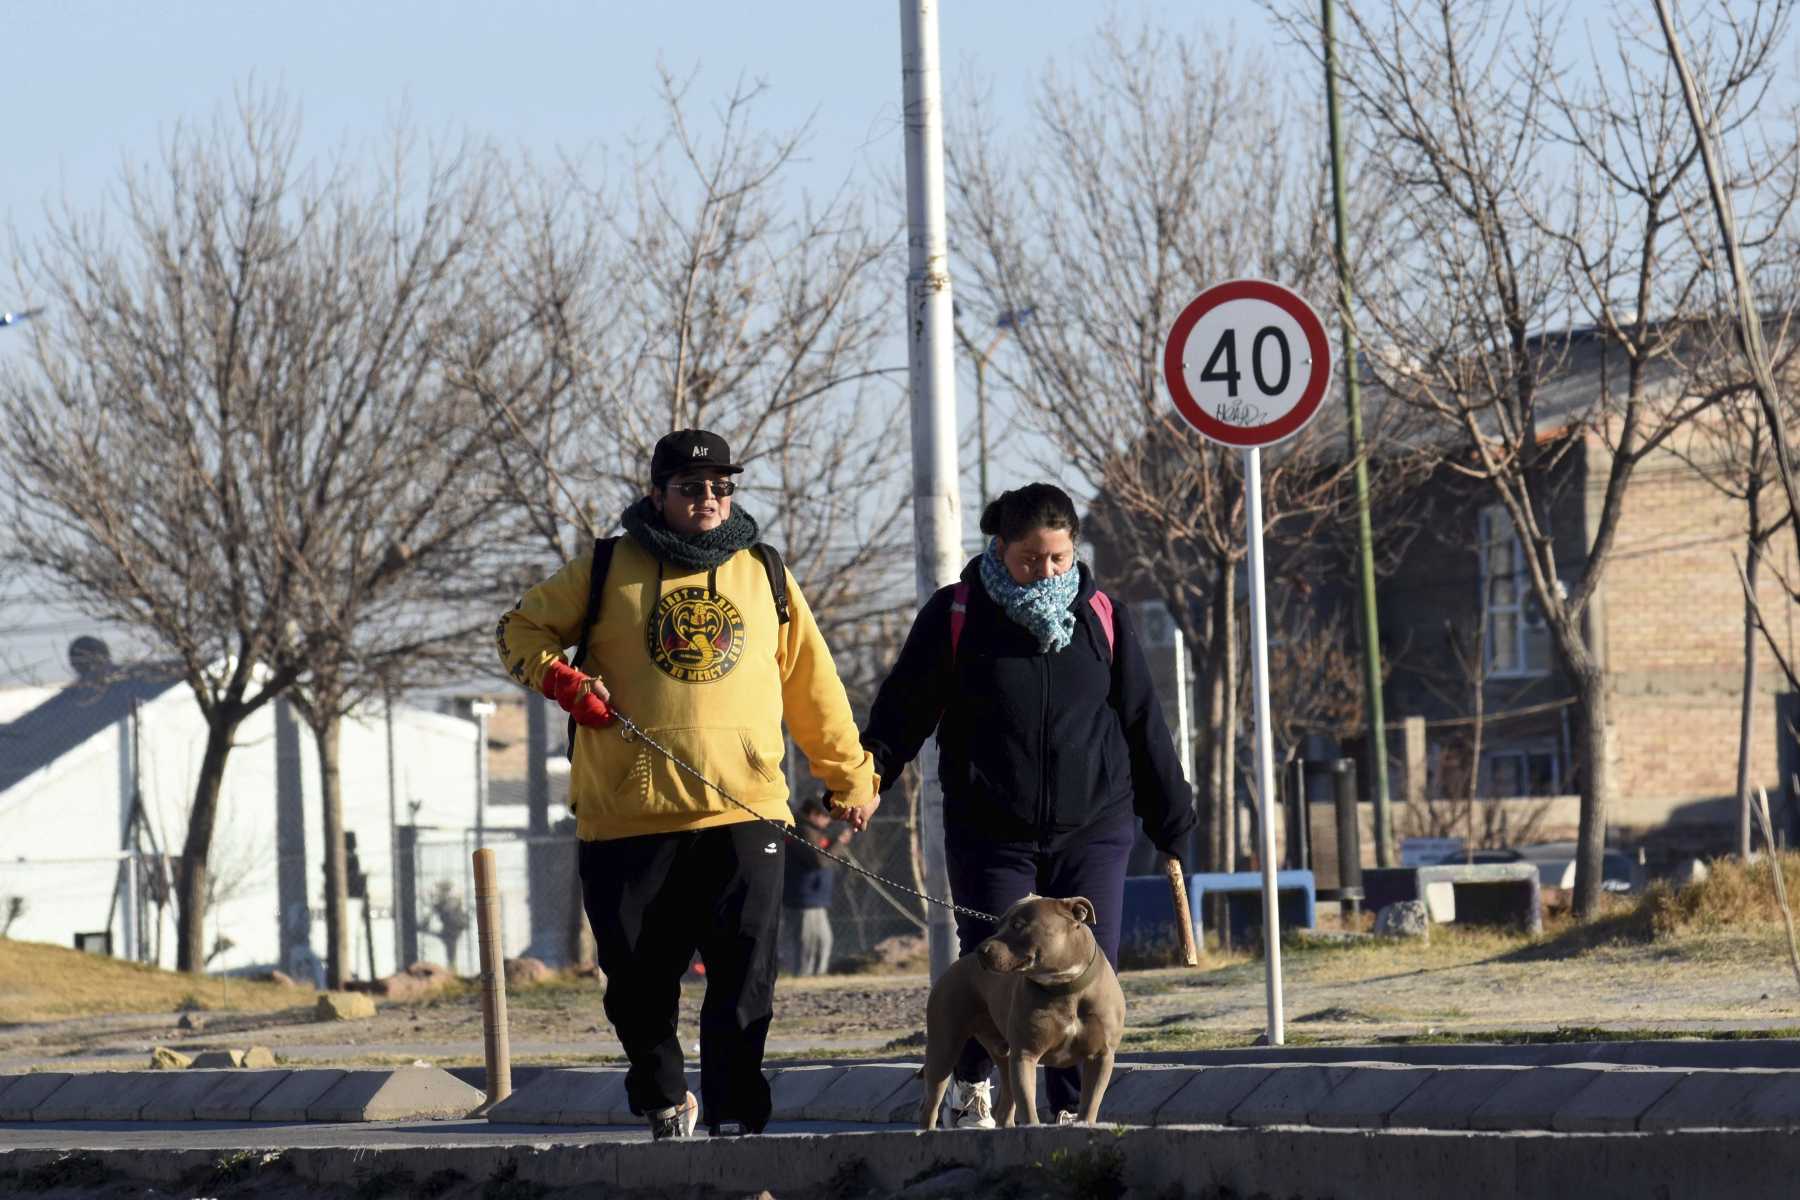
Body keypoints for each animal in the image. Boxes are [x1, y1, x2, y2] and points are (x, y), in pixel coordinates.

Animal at [914, 895, 1123, 1129]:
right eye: (998, 926)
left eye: (1018, 925)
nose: (980, 950)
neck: (1064, 986)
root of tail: (955, 966)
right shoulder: (1025, 1055)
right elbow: (1028, 1107)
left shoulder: (1101, 1057)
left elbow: (1090, 1103)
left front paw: (1083, 1123)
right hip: (944, 1049)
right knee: (931, 1105)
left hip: (1002, 1056)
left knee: (1005, 1104)